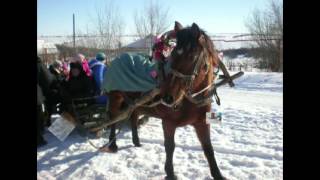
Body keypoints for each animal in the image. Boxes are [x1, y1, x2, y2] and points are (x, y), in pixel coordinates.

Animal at [106, 22, 226, 180]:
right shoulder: (168, 123)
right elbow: (170, 147)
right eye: (173, 55)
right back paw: (112, 144)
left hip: (136, 104)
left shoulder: (202, 123)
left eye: (192, 56)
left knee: (133, 118)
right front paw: (170, 173)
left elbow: (208, 148)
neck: (190, 99)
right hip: (115, 98)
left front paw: (218, 174)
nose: (168, 97)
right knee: (113, 119)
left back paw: (136, 142)